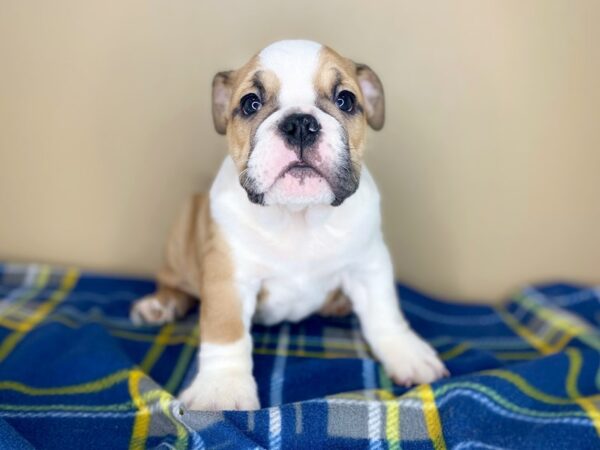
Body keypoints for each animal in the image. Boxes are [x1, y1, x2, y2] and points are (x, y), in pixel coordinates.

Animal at [134, 40, 448, 410]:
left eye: (345, 99)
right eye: (250, 103)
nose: (299, 123)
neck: (299, 216)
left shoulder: (370, 262)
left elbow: (385, 310)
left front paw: (406, 352)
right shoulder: (228, 276)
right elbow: (225, 329)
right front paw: (222, 388)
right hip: (182, 229)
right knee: (174, 283)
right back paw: (160, 304)